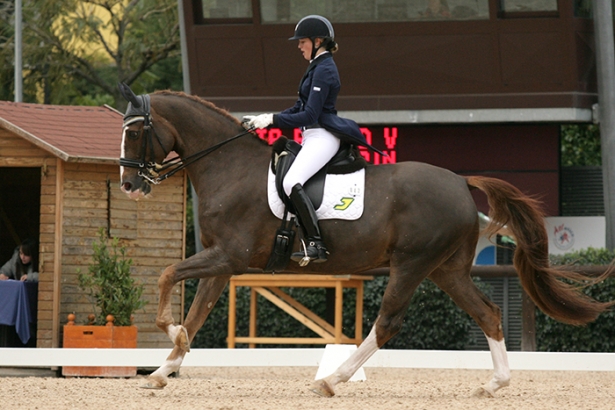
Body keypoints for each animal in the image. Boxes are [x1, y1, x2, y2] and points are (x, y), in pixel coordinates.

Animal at [119, 86, 612, 398]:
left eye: (136, 131)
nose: (128, 185)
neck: (229, 166)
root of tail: (459, 180)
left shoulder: (227, 256)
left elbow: (167, 276)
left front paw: (170, 336)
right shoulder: (221, 262)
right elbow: (197, 312)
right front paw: (163, 370)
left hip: (412, 264)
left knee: (388, 322)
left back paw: (332, 379)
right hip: (446, 269)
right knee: (487, 313)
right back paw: (494, 384)